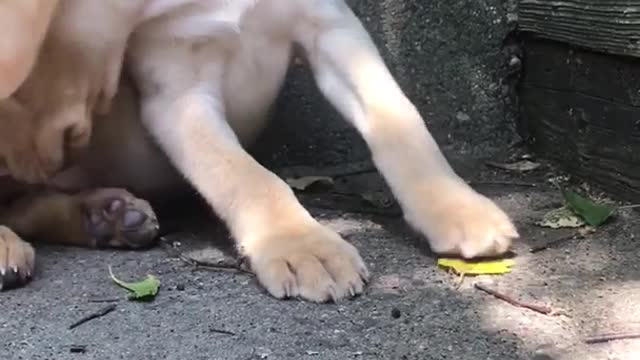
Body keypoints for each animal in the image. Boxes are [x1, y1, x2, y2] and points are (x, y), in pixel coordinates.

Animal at [1, 0, 520, 304]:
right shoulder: (179, 93)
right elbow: (247, 178)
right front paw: (301, 246)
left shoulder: (331, 26)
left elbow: (399, 119)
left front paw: (455, 207)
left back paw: (107, 216)